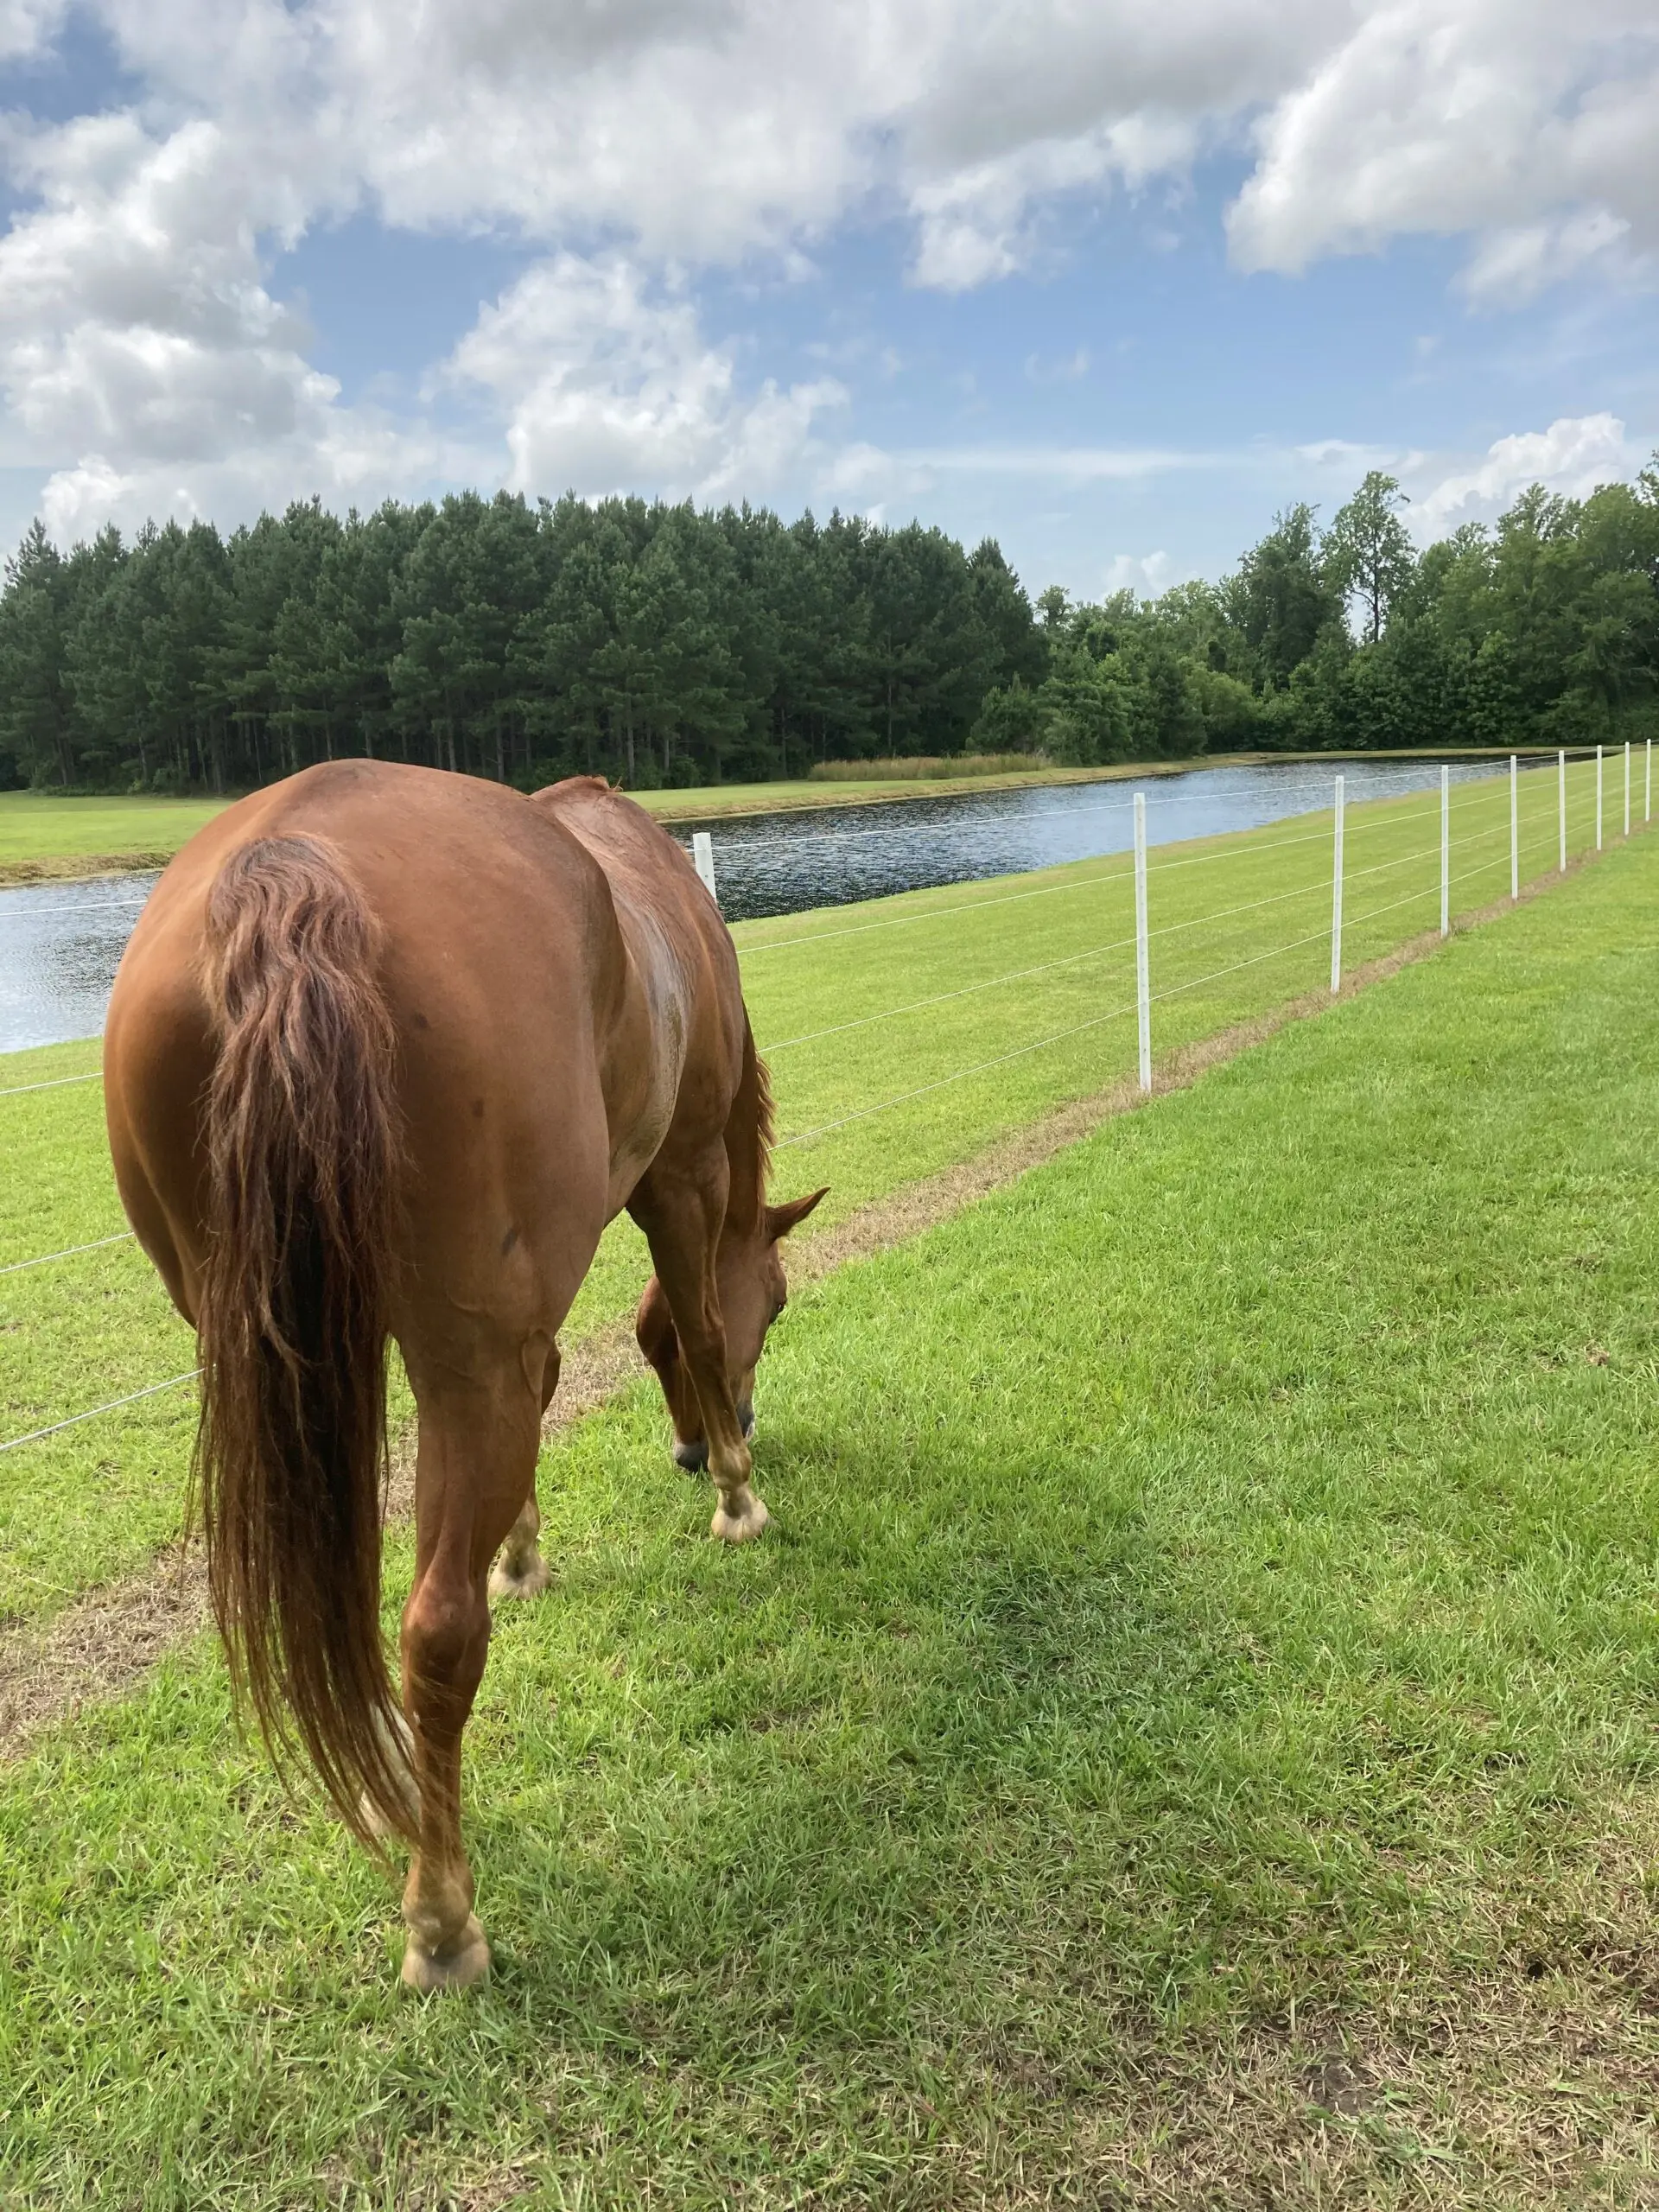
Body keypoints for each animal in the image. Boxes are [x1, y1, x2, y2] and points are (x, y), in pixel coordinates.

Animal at [102, 760, 827, 1991]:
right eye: (774, 1303)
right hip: (461, 1355)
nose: (697, 1446)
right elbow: (693, 1317)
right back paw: (443, 1918)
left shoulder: (521, 1328)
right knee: (434, 1634)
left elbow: (576, 1376)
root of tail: (288, 865)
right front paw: (739, 1498)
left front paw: (525, 1553)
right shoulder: (681, 1179)